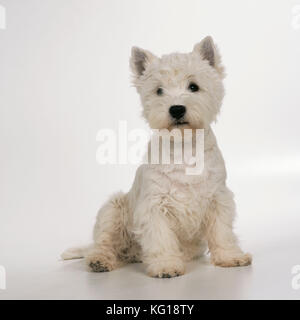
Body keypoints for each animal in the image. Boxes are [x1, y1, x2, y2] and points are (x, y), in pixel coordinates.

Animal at [62, 35, 252, 278]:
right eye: (159, 91)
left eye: (194, 86)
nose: (177, 109)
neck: (183, 148)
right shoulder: (154, 205)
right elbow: (160, 238)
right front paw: (166, 265)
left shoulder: (217, 199)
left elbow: (222, 232)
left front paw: (230, 257)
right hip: (112, 210)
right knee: (104, 243)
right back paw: (100, 261)